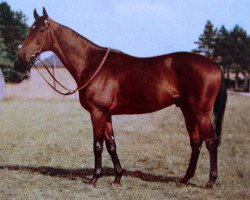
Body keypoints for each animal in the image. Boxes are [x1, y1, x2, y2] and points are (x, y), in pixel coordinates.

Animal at [18, 7, 228, 188]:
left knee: (211, 141)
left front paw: (94, 178)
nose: (22, 55)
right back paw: (184, 179)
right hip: (187, 110)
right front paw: (118, 177)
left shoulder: (97, 112)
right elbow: (111, 144)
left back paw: (210, 181)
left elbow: (97, 145)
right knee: (195, 142)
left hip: (201, 112)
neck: (92, 64)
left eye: (41, 29)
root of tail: (214, 65)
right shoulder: (106, 114)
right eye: (30, 28)